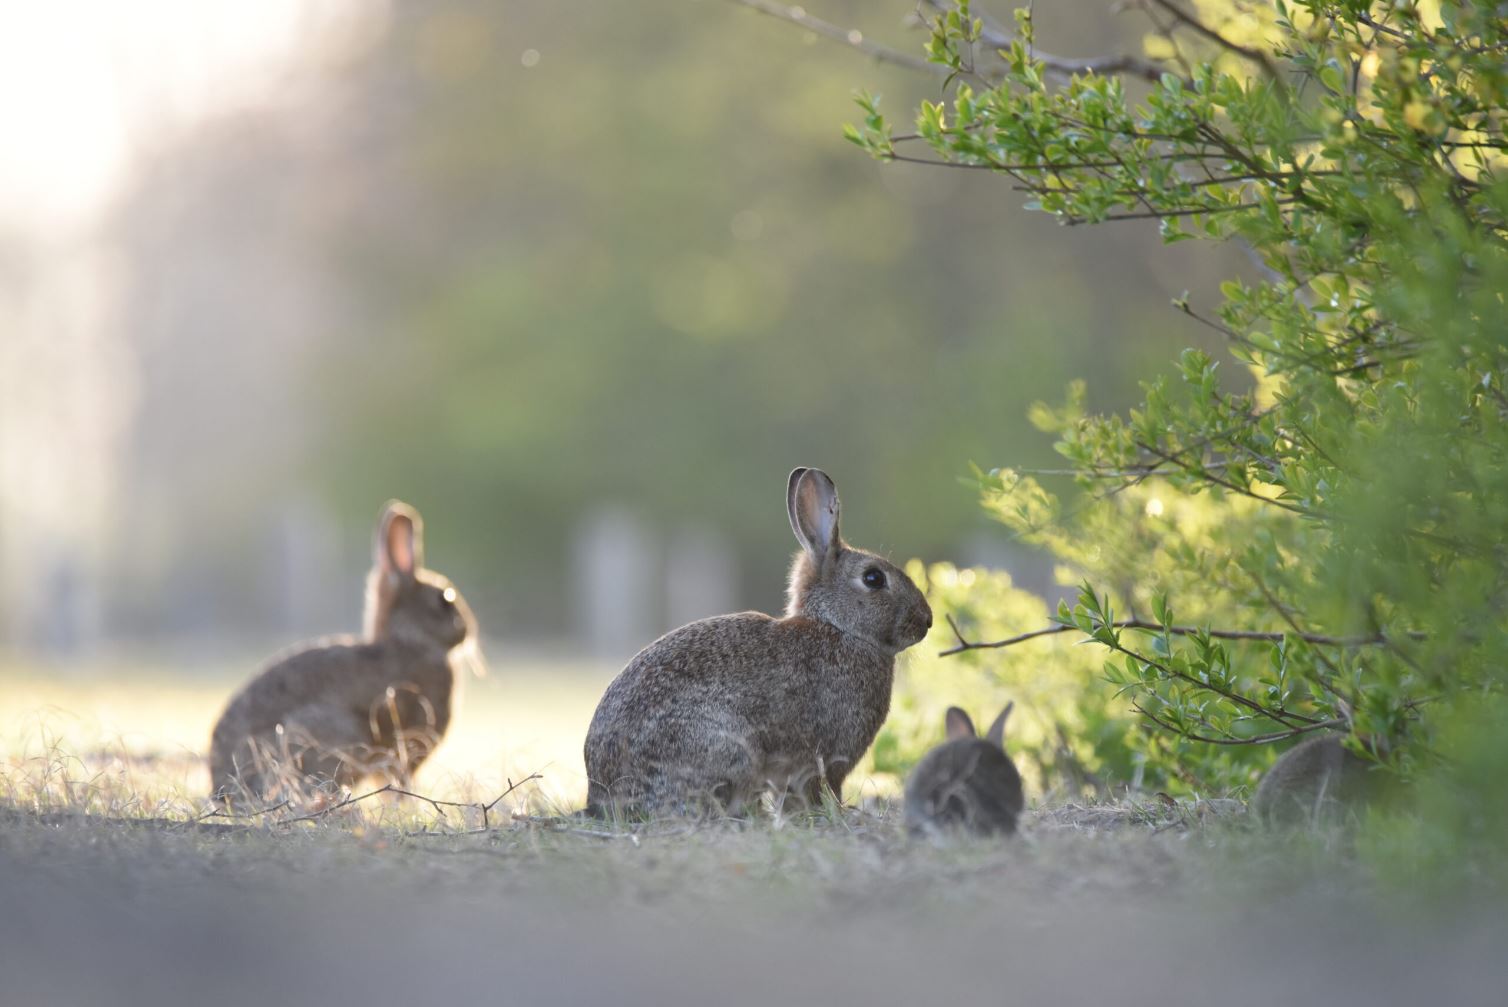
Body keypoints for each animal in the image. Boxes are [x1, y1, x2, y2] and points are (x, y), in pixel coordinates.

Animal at [579, 467, 922, 820]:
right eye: (873, 578)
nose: (926, 620)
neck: (838, 627)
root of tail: (602, 797)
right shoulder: (825, 757)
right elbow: (819, 790)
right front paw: (838, 813)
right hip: (731, 752)